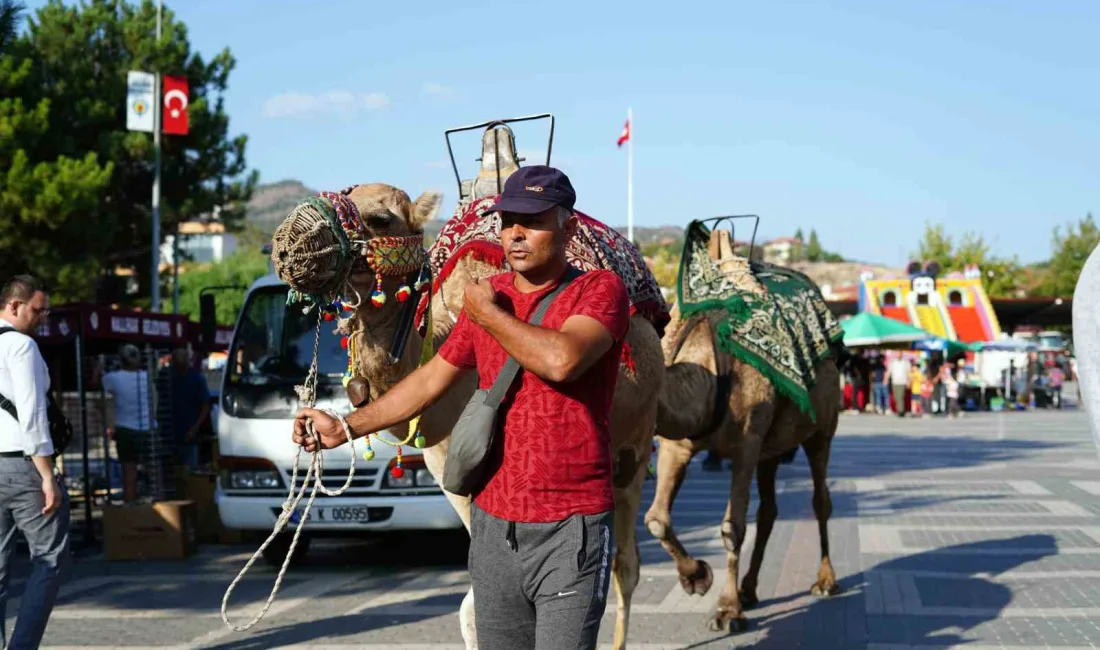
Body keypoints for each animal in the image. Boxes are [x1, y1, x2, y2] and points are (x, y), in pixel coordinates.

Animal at [642, 226, 844, 633]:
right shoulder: (676, 442)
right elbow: (656, 520)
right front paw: (697, 577)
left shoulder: (746, 444)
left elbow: (732, 527)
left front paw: (726, 610)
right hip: (771, 449)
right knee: (769, 510)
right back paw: (750, 589)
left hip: (821, 429)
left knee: (820, 499)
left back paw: (824, 581)